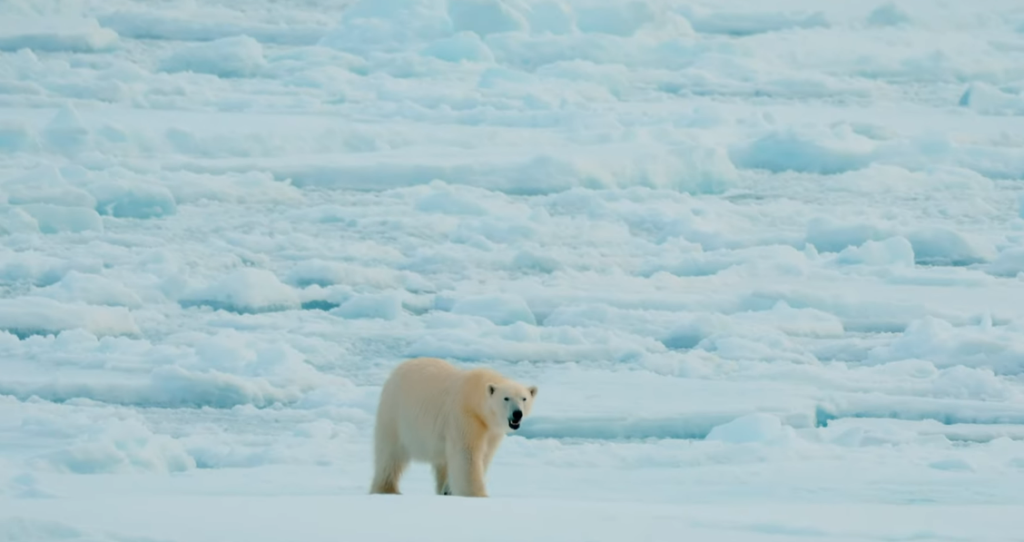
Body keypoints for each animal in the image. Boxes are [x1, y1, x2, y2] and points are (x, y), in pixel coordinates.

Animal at [369, 356, 538, 498]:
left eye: (524, 398)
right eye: (506, 398)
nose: (517, 414)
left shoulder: (491, 430)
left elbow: (485, 455)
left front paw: (450, 490)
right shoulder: (464, 416)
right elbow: (467, 455)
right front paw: (477, 494)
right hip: (395, 414)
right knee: (390, 454)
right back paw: (387, 489)